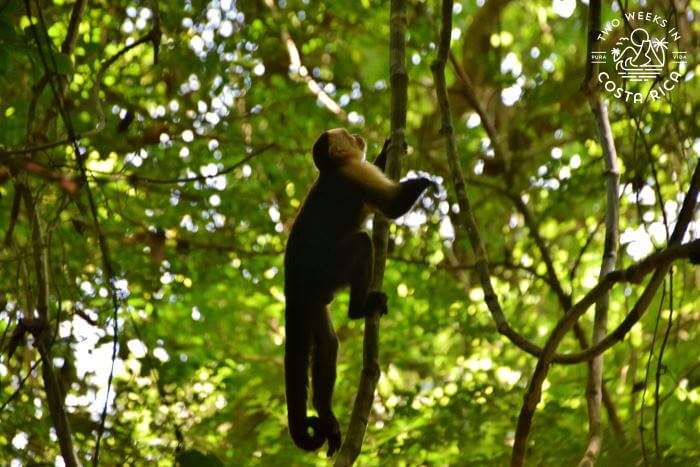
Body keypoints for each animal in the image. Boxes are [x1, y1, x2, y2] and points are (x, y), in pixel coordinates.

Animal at [284, 128, 434, 456]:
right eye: (346, 135)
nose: (356, 134)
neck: (334, 168)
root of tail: (292, 281)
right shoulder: (355, 174)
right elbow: (392, 205)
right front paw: (426, 180)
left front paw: (389, 148)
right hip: (325, 270)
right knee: (363, 244)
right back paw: (360, 309)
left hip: (313, 296)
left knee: (328, 345)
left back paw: (325, 413)